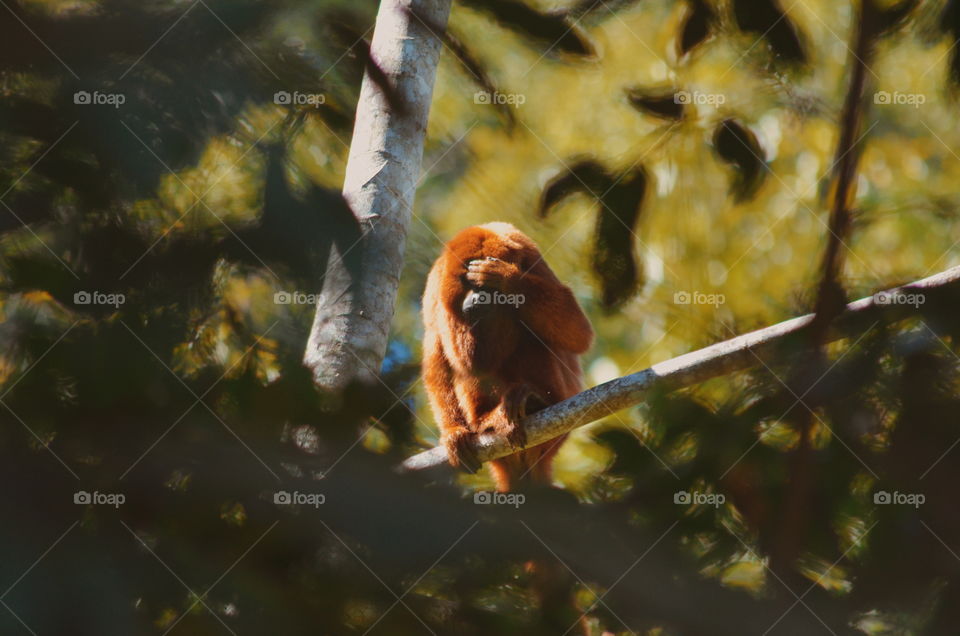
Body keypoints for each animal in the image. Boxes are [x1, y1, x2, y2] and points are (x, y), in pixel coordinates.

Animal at [421, 222, 593, 492]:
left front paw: (508, 279)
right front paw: (453, 432)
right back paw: (486, 421)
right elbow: (436, 359)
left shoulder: (531, 256)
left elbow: (578, 332)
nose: (479, 298)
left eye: (487, 288)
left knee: (531, 339)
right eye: (468, 282)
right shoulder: (434, 286)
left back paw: (534, 401)